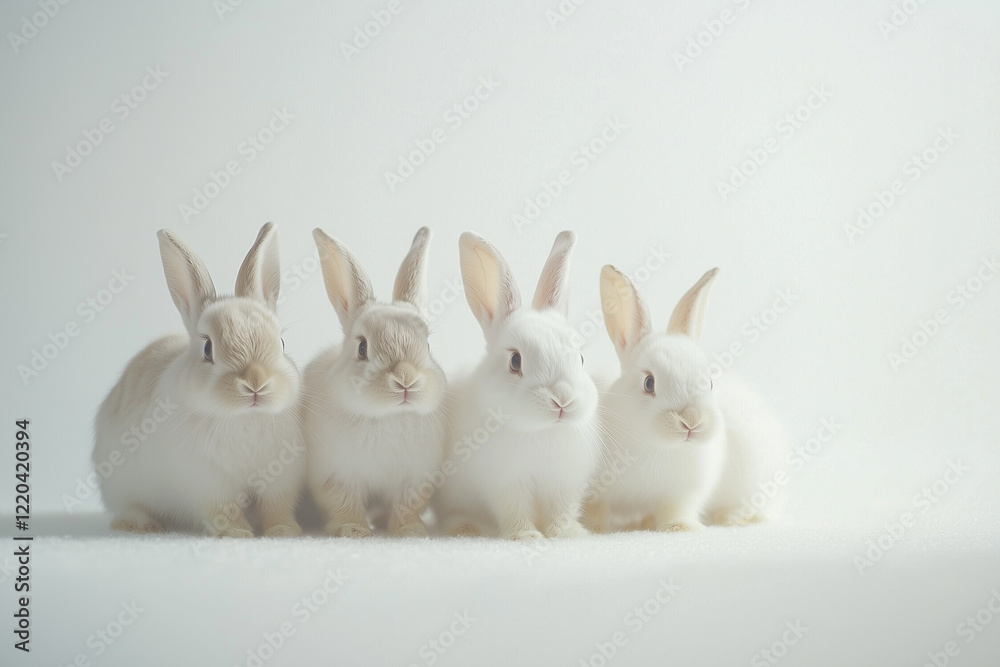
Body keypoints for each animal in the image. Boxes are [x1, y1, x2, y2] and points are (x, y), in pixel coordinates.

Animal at [93, 223, 305, 537]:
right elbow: (224, 511)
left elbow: (276, 507)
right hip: (120, 487)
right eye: (207, 349)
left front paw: (284, 531)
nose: (256, 383)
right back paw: (140, 525)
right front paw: (237, 533)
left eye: (281, 343)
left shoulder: (278, 480)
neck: (243, 417)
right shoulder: (209, 484)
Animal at [302, 226, 447, 538]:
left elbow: (407, 505)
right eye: (362, 348)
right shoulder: (337, 475)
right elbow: (344, 502)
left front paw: (410, 531)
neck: (386, 416)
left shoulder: (414, 478)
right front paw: (353, 530)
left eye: (427, 345)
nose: (405, 380)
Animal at [430, 231, 600, 540]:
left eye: (581, 358)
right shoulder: (505, 482)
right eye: (515, 361)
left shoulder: (563, 482)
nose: (562, 399)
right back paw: (466, 527)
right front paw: (526, 536)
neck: (542, 431)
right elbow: (514, 509)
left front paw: (568, 533)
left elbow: (561, 510)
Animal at [583, 265, 788, 533]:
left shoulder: (683, 493)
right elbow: (595, 509)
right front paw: (593, 530)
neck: (655, 445)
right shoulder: (595, 490)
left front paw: (682, 527)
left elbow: (675, 511)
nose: (691, 419)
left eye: (709, 383)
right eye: (649, 383)